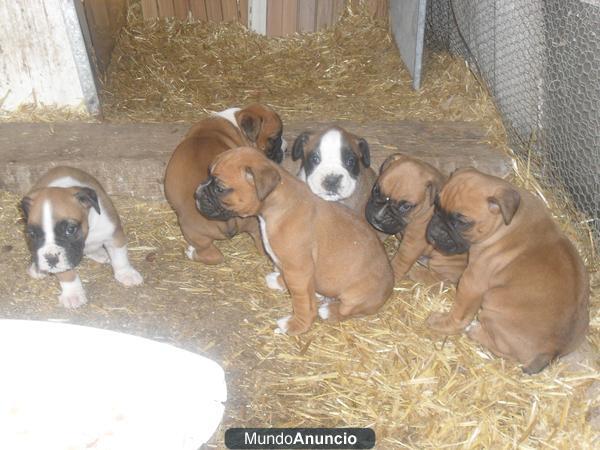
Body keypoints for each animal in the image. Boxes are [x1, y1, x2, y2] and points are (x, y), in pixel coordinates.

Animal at [20, 167, 143, 308]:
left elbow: (120, 256)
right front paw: (73, 294)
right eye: (32, 234)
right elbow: (67, 274)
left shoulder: (114, 235)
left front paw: (126, 273)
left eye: (70, 229)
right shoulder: (64, 259)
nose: (50, 259)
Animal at [163, 103, 288, 266]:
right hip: (257, 227)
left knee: (214, 255)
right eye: (274, 138)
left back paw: (190, 252)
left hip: (193, 232)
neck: (237, 123)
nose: (286, 148)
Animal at [196, 147, 394, 334]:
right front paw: (279, 280)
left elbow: (302, 302)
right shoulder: (292, 269)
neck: (274, 205)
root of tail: (389, 288)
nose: (197, 193)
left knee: (348, 310)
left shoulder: (299, 271)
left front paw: (297, 325)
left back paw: (330, 310)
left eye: (220, 188)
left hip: (354, 297)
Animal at [366, 153, 468, 284]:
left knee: (440, 278)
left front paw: (393, 275)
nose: (378, 218)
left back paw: (416, 273)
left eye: (406, 206)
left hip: (443, 258)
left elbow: (400, 262)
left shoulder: (412, 244)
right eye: (376, 190)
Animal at [424, 168, 588, 372]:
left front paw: (443, 323)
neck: (505, 223)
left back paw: (475, 331)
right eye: (437, 206)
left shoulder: (472, 282)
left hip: (492, 306)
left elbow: (459, 314)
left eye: (462, 222)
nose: (434, 232)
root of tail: (552, 350)